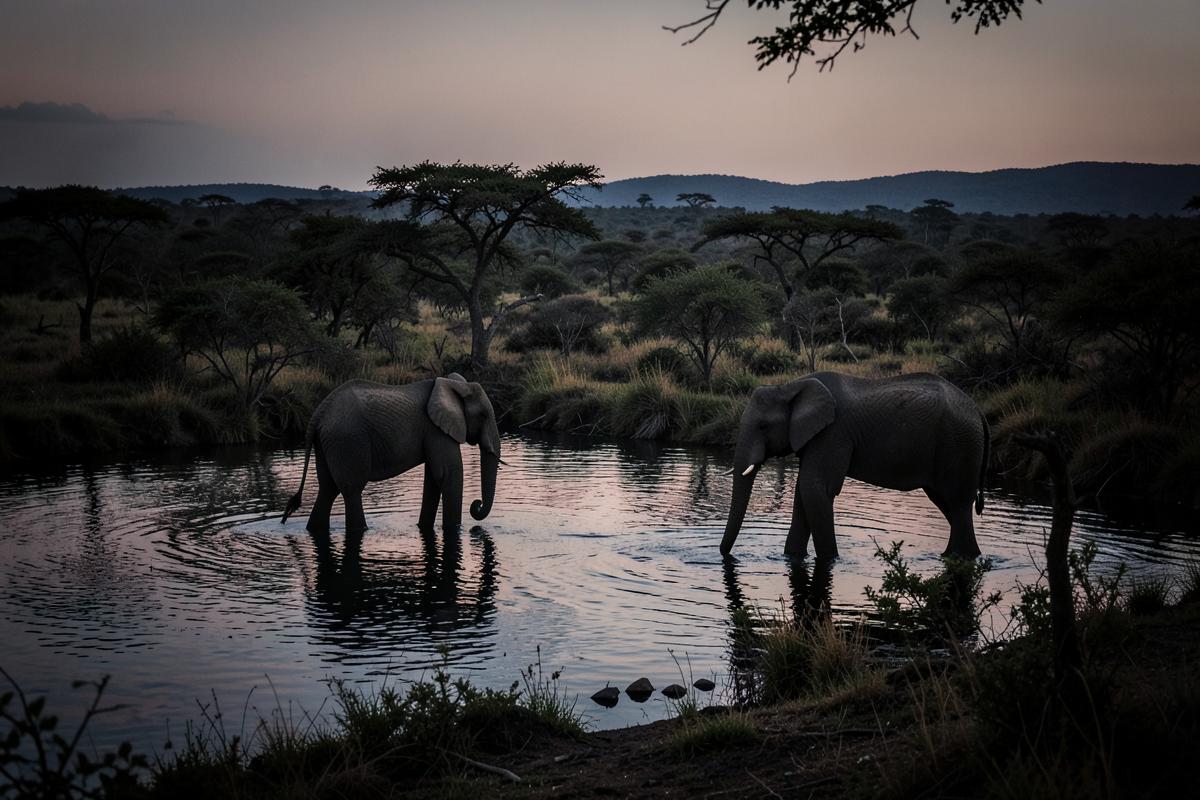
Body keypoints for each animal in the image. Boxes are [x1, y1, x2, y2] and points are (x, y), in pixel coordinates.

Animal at [280, 373, 500, 534]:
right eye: (483, 415)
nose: (477, 504)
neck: (454, 384)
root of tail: (318, 414)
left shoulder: (432, 432)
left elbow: (433, 479)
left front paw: (423, 527)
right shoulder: (436, 430)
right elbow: (448, 475)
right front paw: (454, 529)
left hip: (327, 443)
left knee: (327, 490)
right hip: (347, 440)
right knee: (351, 490)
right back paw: (361, 530)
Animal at [721, 371, 989, 560]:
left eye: (763, 426)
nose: (724, 554)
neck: (790, 386)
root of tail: (978, 410)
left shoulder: (832, 433)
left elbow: (814, 489)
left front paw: (830, 559)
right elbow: (803, 492)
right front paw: (792, 558)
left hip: (959, 444)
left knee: (957, 504)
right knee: (950, 505)